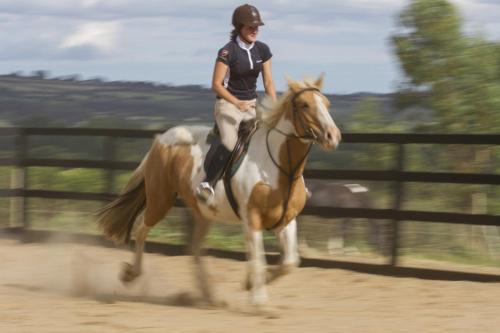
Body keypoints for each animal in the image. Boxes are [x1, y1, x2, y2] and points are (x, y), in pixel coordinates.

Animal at [96, 76, 340, 304]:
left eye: (327, 103)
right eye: (305, 105)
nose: (333, 136)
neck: (279, 168)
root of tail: (161, 139)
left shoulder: (286, 221)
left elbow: (289, 262)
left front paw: (249, 284)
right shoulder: (252, 219)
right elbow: (258, 259)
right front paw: (259, 301)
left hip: (203, 213)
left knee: (194, 248)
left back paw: (208, 296)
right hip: (161, 199)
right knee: (141, 230)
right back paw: (131, 274)